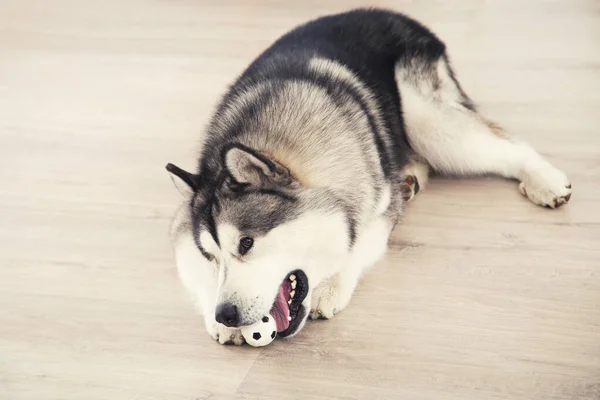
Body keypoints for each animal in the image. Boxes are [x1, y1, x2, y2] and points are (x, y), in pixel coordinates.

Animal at [165, 7, 572, 346]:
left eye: (246, 243)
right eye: (211, 256)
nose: (226, 314)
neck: (269, 137)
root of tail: (395, 13)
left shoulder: (378, 204)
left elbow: (356, 243)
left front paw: (332, 283)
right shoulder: (182, 231)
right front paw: (214, 314)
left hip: (429, 122)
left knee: (505, 145)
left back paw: (544, 179)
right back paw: (411, 176)